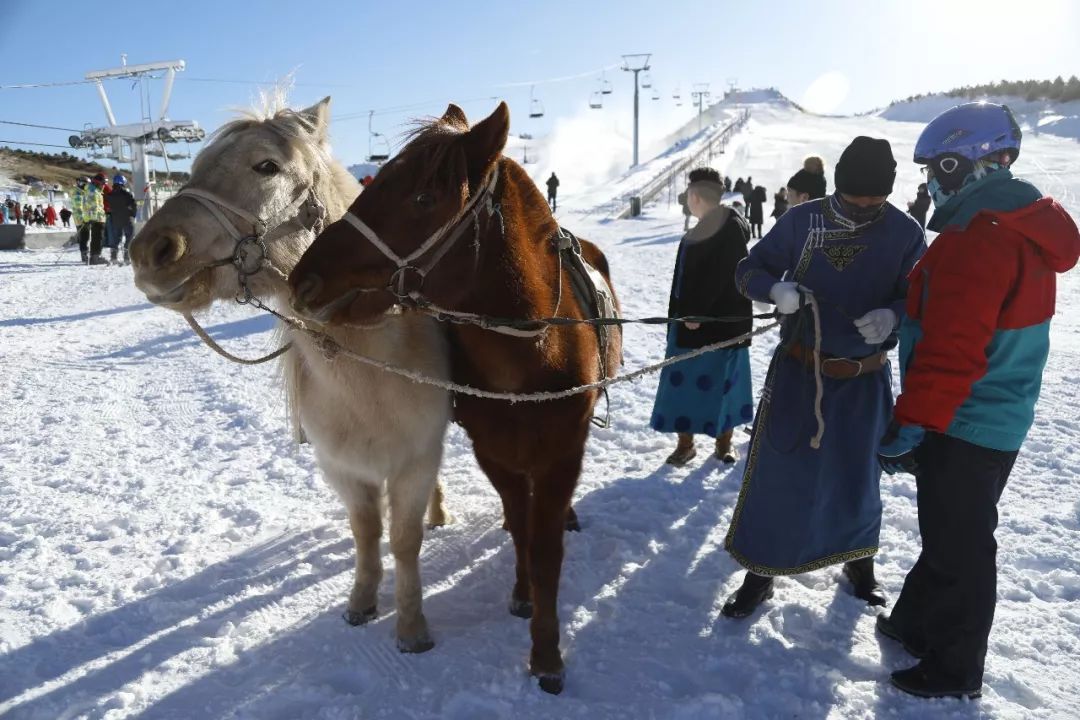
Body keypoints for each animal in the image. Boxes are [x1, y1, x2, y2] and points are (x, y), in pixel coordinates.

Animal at [130, 95, 451, 651]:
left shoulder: (415, 461)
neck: (370, 374)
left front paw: (412, 627)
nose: (150, 252)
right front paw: (361, 601)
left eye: (267, 166)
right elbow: (367, 532)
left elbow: (404, 541)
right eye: (193, 167)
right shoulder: (342, 469)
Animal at [289, 101, 626, 690]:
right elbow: (520, 526)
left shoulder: (561, 454)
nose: (302, 279)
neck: (529, 354)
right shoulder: (492, 451)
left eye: (424, 198)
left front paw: (546, 652)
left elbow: (546, 549)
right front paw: (522, 595)